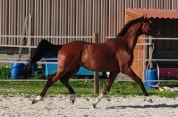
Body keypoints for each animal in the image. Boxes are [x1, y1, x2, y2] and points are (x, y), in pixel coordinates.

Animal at [27, 13, 160, 108]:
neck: (124, 44)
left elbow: (107, 88)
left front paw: (94, 103)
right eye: (150, 24)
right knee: (52, 79)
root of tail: (63, 46)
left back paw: (73, 97)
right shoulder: (125, 68)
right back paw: (36, 99)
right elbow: (139, 80)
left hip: (74, 68)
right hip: (65, 67)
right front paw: (149, 98)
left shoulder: (115, 71)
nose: (158, 33)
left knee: (63, 79)